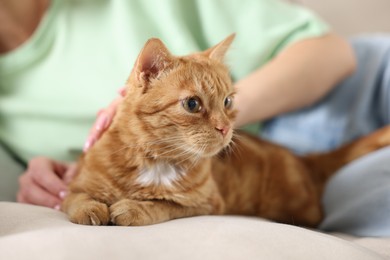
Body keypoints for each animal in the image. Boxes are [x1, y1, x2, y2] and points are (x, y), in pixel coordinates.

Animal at [62, 35, 390, 228]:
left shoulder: (205, 204)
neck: (157, 161)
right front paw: (91, 209)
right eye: (192, 104)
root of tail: (303, 158)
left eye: (228, 101)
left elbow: (164, 205)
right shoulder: (77, 184)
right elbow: (77, 198)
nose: (225, 127)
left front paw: (134, 209)